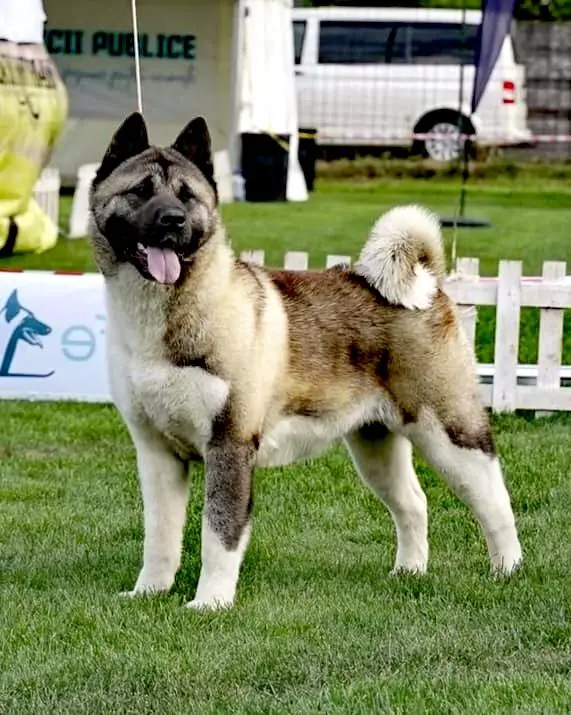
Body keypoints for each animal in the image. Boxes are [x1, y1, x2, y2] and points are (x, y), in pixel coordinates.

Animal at [88, 112, 522, 610]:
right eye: (141, 191)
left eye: (186, 196)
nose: (173, 220)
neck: (168, 310)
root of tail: (429, 285)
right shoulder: (157, 454)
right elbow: (159, 535)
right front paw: (148, 592)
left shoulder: (229, 445)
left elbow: (219, 534)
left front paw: (210, 603)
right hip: (376, 446)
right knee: (414, 503)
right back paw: (409, 572)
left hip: (449, 432)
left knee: (494, 499)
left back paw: (508, 570)